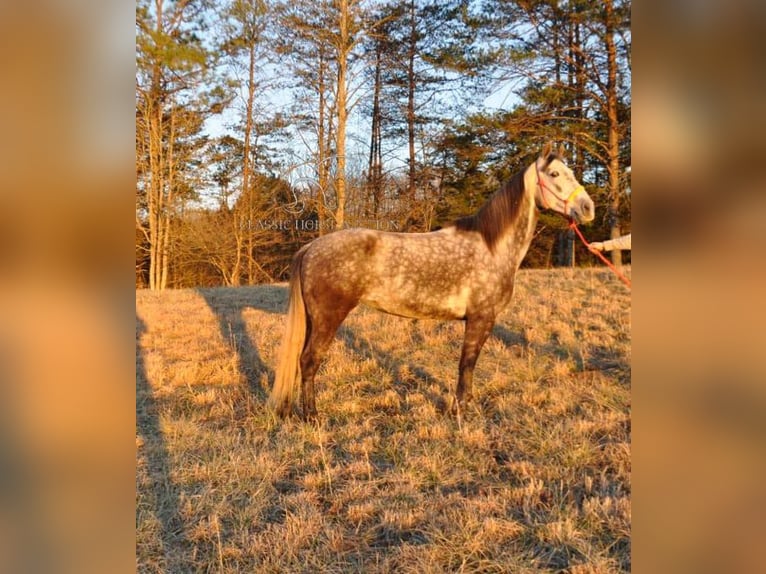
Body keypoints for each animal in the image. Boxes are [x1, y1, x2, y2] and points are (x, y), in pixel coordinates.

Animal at [272, 143, 600, 424]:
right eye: (555, 174)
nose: (587, 208)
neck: (492, 247)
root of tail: (310, 248)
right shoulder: (481, 319)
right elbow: (466, 364)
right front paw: (460, 412)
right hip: (328, 318)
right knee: (309, 361)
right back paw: (313, 417)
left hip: (315, 320)